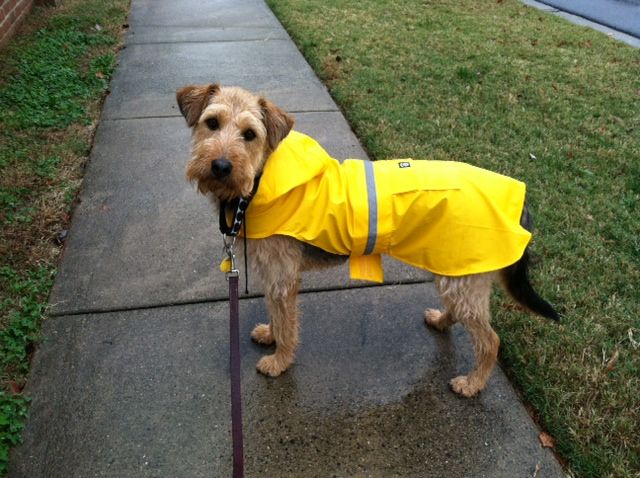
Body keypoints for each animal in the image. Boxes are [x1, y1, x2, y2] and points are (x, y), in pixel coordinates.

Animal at [174, 84, 556, 398]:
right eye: (212, 123)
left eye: (250, 134)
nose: (220, 166)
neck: (258, 179)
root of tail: (520, 206)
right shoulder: (274, 273)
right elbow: (275, 313)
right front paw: (270, 334)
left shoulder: (282, 275)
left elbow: (286, 320)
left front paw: (279, 359)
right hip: (453, 268)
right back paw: (441, 322)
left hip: (463, 275)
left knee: (491, 341)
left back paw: (472, 383)